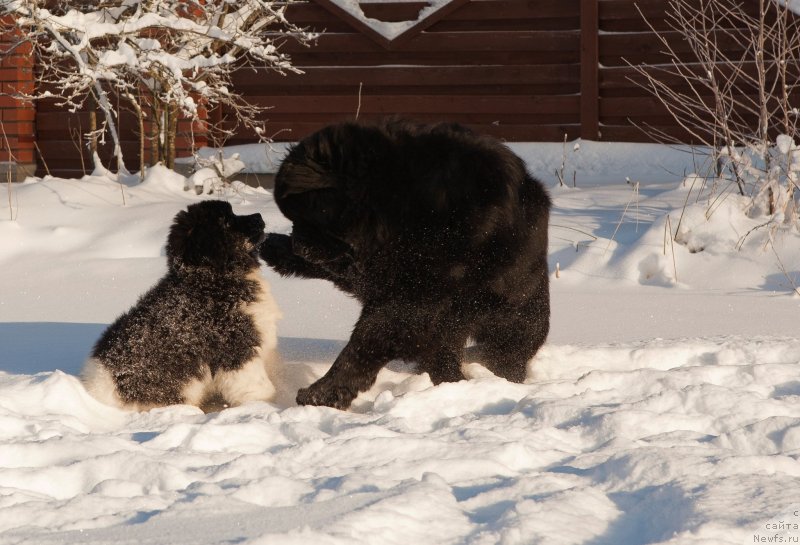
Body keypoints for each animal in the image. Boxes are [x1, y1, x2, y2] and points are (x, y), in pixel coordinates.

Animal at [262, 119, 552, 408]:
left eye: (306, 215)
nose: (298, 246)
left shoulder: (416, 295)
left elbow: (368, 337)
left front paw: (323, 392)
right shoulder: (379, 269)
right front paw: (275, 247)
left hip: (512, 316)